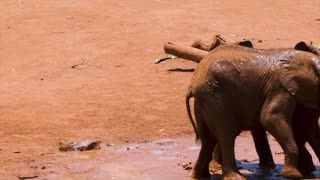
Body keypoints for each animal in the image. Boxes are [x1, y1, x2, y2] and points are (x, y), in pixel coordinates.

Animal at [185, 44, 320, 180]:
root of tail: (193, 82)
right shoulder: (280, 88)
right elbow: (270, 118)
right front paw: (292, 175)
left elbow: (307, 126)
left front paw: (306, 170)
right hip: (214, 96)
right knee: (227, 135)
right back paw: (236, 177)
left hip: (203, 101)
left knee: (208, 139)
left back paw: (200, 176)